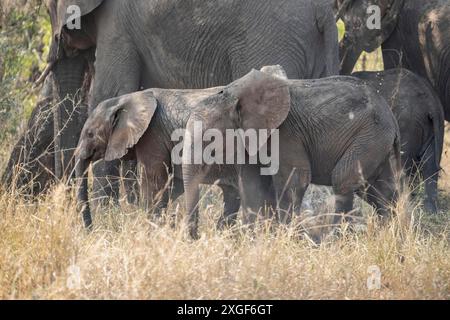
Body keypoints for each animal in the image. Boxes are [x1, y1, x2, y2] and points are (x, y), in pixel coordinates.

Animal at [181, 69, 402, 234]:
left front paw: (287, 237)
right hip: (377, 142)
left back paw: (335, 239)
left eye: (210, 140)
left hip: (370, 135)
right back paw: (390, 236)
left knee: (343, 180)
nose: (195, 237)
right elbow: (253, 185)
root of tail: (391, 116)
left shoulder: (286, 133)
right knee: (378, 191)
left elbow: (294, 181)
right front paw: (258, 238)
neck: (230, 96)